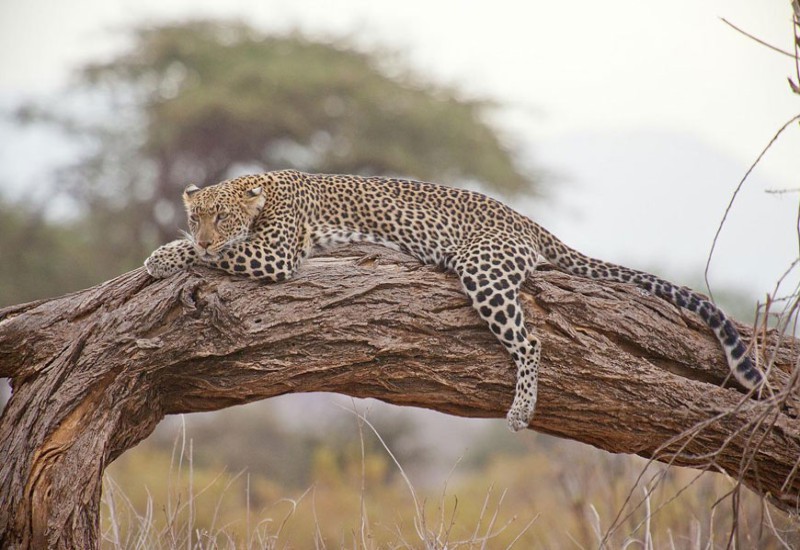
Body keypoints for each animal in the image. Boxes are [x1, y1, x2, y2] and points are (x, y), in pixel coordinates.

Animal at [144, 170, 764, 434]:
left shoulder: (274, 253)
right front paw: (170, 252)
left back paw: (521, 410)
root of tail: (527, 222)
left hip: (483, 271)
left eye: (221, 219)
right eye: (198, 216)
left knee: (530, 340)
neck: (262, 190)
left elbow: (215, 256)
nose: (205, 236)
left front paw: (164, 257)